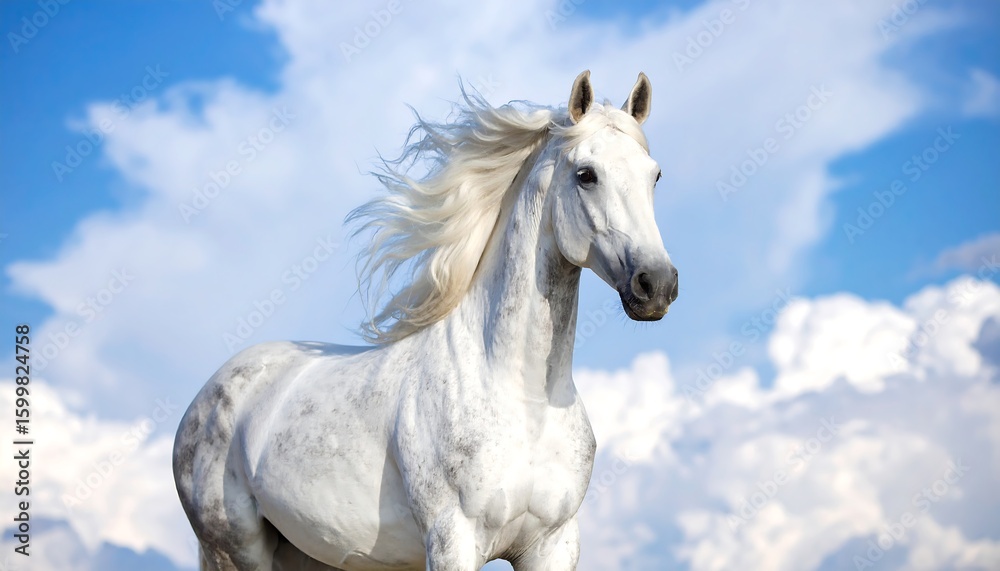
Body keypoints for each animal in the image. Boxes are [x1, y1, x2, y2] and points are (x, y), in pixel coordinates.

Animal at [172, 70, 679, 571]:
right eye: (586, 175)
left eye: (654, 175)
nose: (656, 284)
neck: (523, 397)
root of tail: (207, 395)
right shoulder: (453, 539)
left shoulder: (553, 545)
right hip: (237, 551)